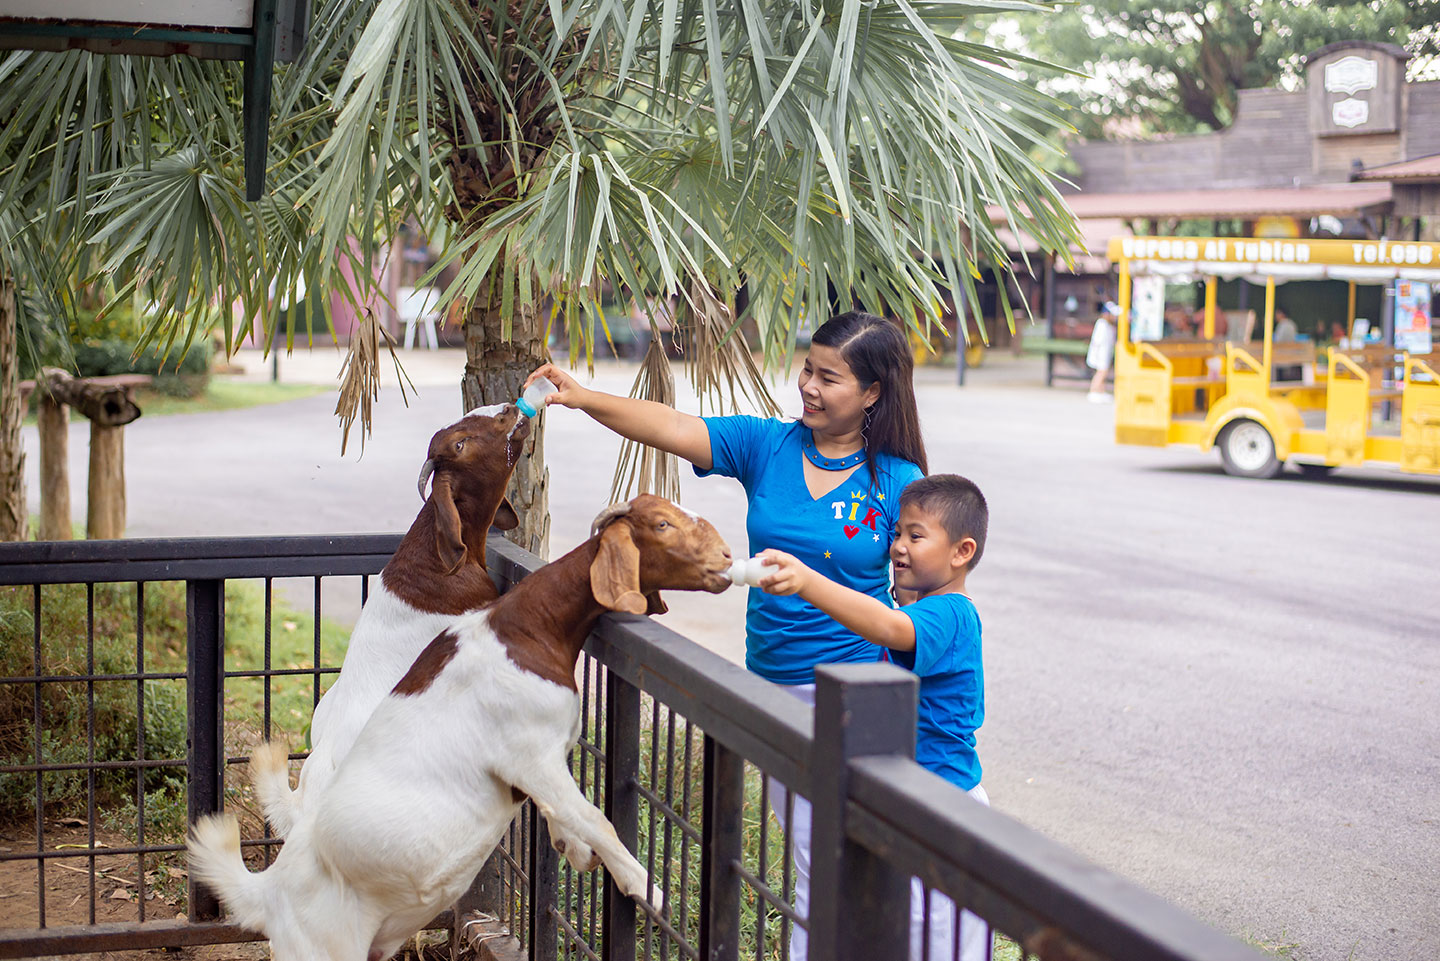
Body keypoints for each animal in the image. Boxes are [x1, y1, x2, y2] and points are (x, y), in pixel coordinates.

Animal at [191, 495, 731, 961]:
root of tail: (268, 892)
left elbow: (565, 812)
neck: (525, 630)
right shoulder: (529, 753)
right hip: (323, 948)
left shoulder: (544, 759)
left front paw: (572, 849)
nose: (727, 556)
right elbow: (595, 816)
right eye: (661, 523)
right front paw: (647, 888)